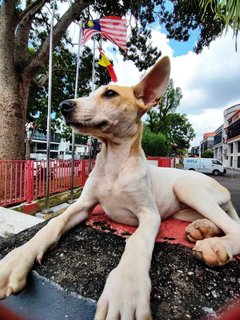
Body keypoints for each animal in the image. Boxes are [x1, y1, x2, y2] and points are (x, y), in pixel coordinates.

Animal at [0, 57, 240, 320]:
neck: (113, 161)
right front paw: (17, 258)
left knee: (234, 227)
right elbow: (54, 222)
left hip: (187, 187)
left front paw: (126, 289)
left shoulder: (149, 214)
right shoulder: (83, 204)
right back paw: (202, 228)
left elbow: (136, 241)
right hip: (184, 208)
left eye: (110, 93)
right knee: (217, 220)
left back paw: (216, 245)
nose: (64, 105)